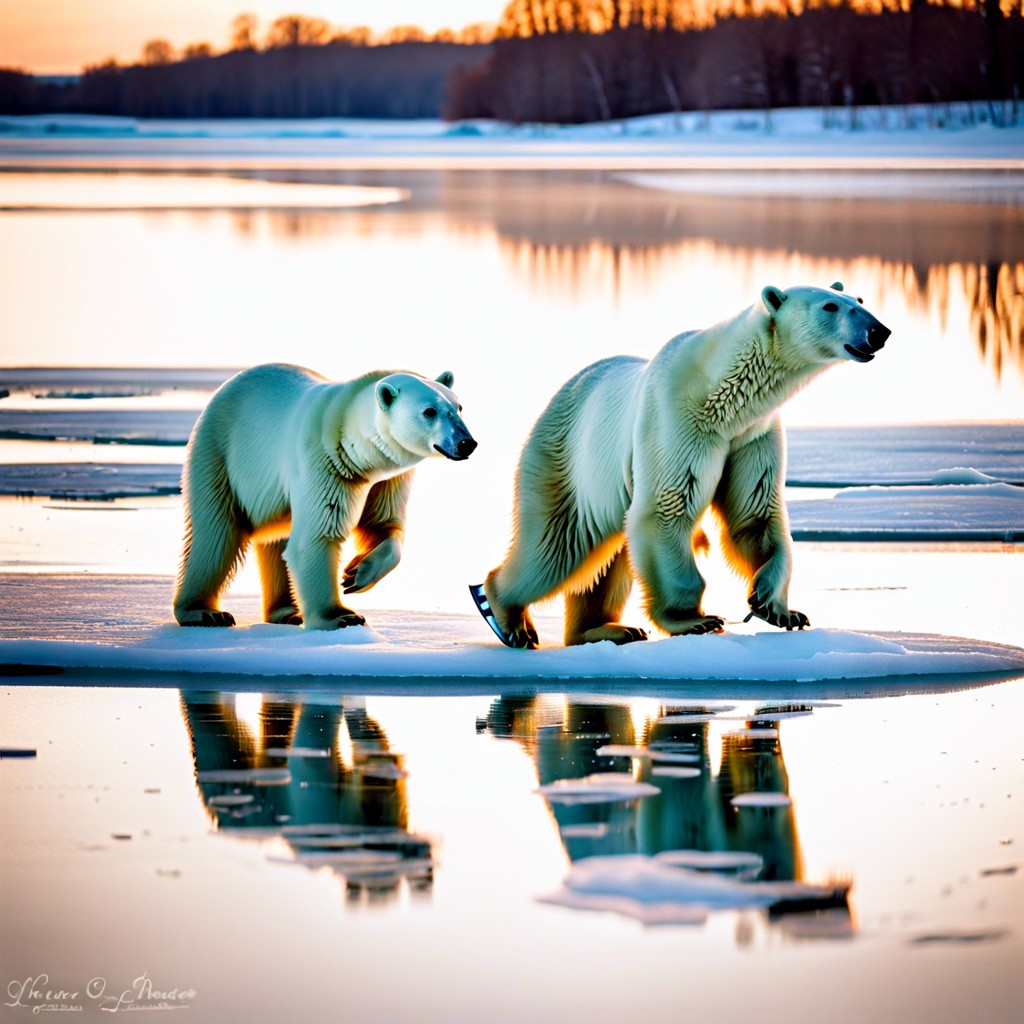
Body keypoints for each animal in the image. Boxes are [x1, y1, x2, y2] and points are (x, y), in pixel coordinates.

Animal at [175, 364, 475, 626]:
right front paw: (341, 616)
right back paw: (205, 612)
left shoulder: (388, 479)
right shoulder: (326, 463)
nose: (466, 443)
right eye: (429, 411)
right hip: (219, 453)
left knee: (276, 536)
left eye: (458, 407)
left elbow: (383, 524)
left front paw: (355, 573)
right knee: (215, 535)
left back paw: (287, 612)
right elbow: (318, 534)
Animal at [471, 280, 888, 647]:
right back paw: (505, 612)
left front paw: (779, 607)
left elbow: (755, 513)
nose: (879, 331)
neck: (723, 392)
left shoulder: (753, 434)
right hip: (565, 460)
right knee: (556, 546)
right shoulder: (678, 419)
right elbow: (665, 509)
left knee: (606, 559)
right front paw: (695, 620)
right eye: (830, 306)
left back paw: (610, 629)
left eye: (859, 299)